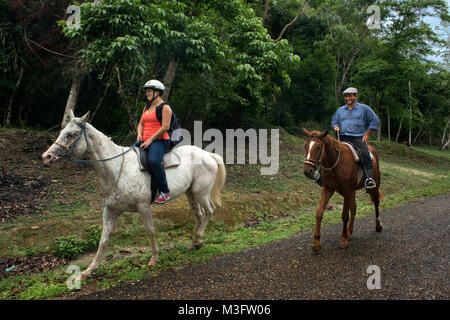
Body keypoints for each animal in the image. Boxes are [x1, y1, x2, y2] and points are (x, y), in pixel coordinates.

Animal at [42, 111, 225, 282]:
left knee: (209, 210)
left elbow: (150, 230)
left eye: (71, 134)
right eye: (62, 131)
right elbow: (104, 239)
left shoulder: (143, 206)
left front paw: (154, 258)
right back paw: (194, 243)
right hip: (191, 193)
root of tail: (208, 155)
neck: (117, 168)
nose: (47, 157)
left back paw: (199, 240)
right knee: (199, 214)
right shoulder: (111, 210)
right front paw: (89, 270)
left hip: (201, 192)